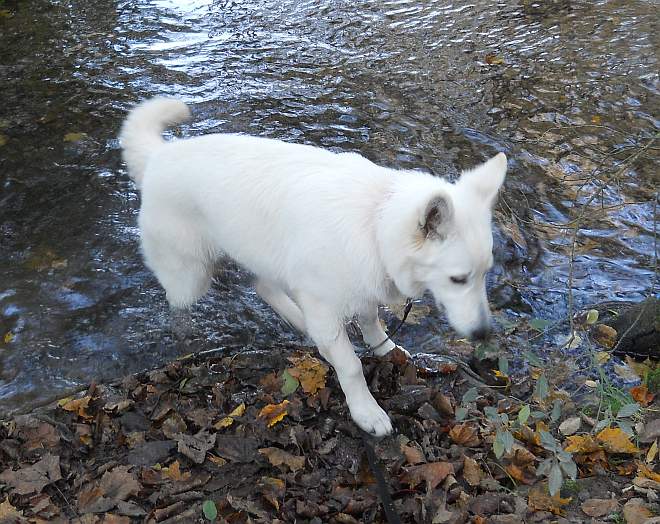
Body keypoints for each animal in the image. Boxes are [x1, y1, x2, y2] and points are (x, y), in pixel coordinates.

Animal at [121, 98, 508, 438]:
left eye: (485, 274)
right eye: (458, 279)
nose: (483, 334)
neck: (375, 221)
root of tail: (158, 157)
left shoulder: (360, 288)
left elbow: (372, 322)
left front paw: (385, 349)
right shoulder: (328, 305)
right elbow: (351, 366)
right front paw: (366, 411)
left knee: (264, 287)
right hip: (191, 277)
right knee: (180, 305)